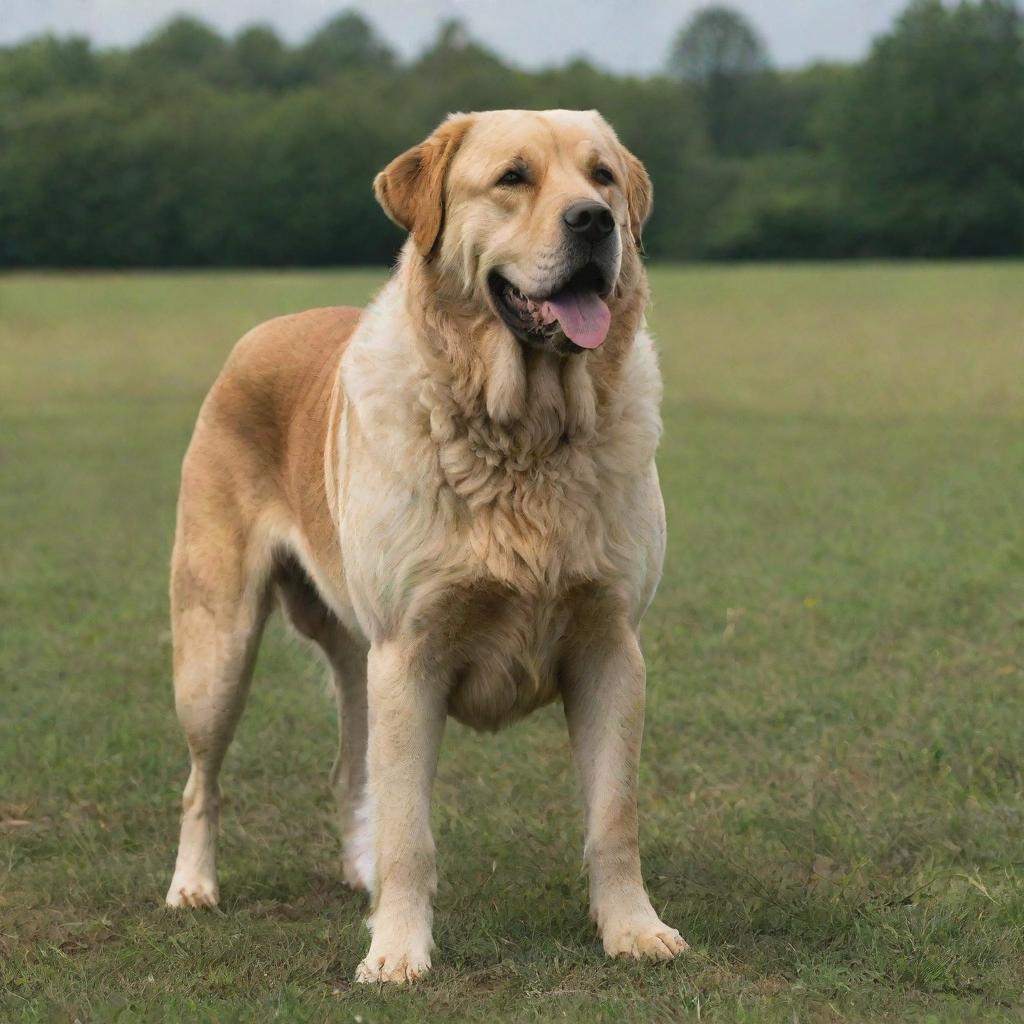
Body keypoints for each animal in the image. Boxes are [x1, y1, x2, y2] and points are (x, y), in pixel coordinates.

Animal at [163, 108, 684, 978]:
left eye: (602, 177)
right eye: (513, 178)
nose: (594, 222)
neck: (526, 437)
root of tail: (262, 331)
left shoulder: (612, 648)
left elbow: (615, 817)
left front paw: (633, 930)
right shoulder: (410, 654)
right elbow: (412, 831)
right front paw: (397, 953)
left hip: (350, 659)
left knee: (350, 770)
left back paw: (358, 874)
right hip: (217, 651)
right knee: (202, 781)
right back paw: (193, 887)